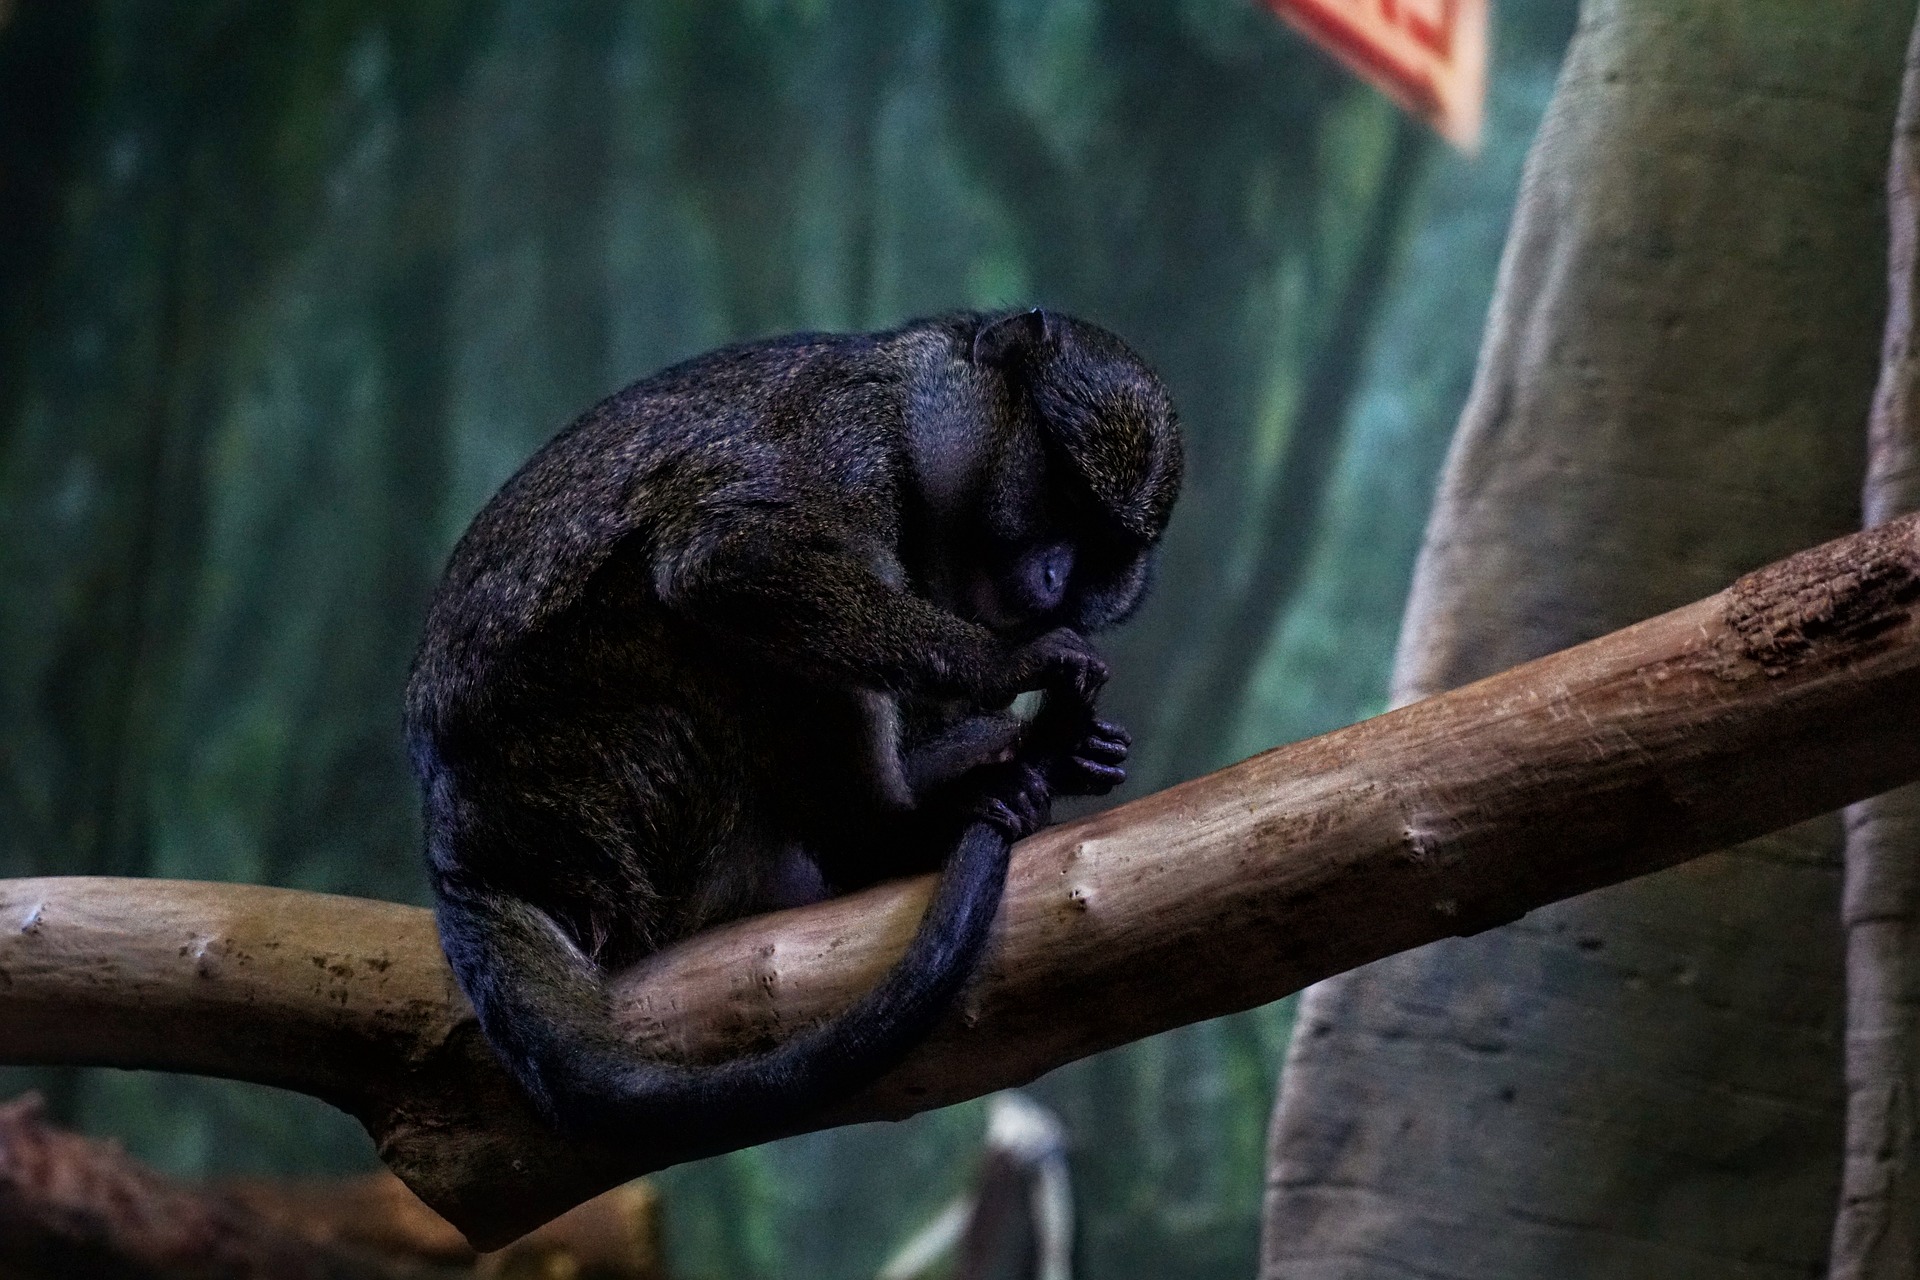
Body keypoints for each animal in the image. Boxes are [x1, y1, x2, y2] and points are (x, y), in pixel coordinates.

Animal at [404, 307, 1183, 1157]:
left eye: (1104, 549)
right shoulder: (845, 441)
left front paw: (1048, 741)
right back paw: (893, 836)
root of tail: (463, 854)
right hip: (605, 768)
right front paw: (1009, 664)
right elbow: (729, 561)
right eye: (1061, 496)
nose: (1052, 582)